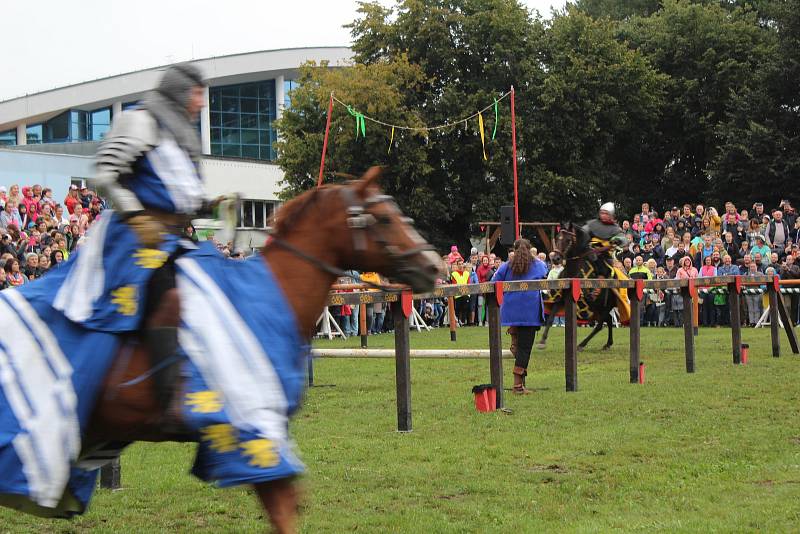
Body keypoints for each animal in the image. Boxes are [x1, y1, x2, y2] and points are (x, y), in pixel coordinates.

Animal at [540, 223, 620, 354]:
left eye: (568, 240)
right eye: (557, 238)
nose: (555, 259)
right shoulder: (562, 298)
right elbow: (551, 316)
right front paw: (542, 340)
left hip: (604, 305)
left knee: (600, 324)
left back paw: (582, 344)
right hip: (599, 307)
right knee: (608, 320)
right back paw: (608, 343)